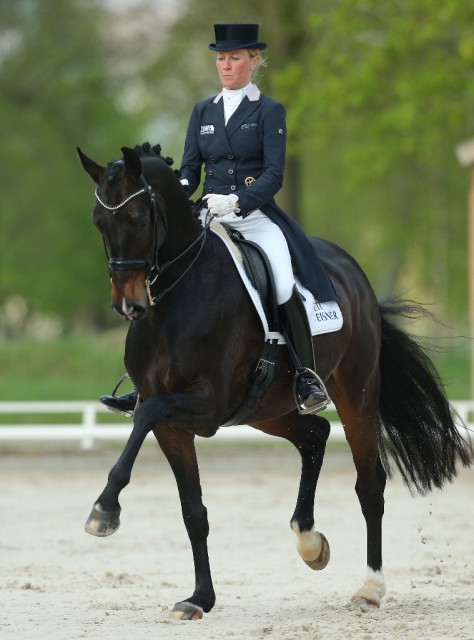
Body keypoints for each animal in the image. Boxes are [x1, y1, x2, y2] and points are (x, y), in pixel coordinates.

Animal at [77, 144, 470, 620]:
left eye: (137, 218)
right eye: (99, 221)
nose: (127, 305)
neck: (174, 300)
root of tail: (353, 273)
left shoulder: (203, 406)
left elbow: (146, 415)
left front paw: (104, 510)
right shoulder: (176, 426)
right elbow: (193, 511)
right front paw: (200, 598)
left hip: (356, 392)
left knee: (369, 482)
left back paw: (370, 588)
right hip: (264, 408)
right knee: (314, 434)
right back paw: (309, 541)